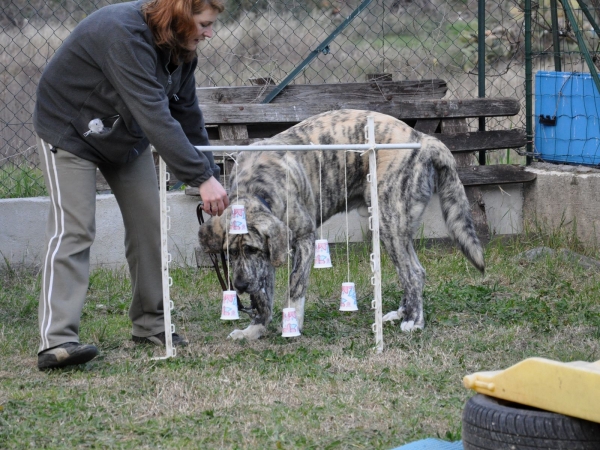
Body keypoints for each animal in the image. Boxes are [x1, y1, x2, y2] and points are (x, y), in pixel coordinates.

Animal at [199, 110, 486, 342]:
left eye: (251, 249)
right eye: (230, 253)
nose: (239, 286)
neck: (257, 187)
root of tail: (423, 139)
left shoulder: (304, 239)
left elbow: (295, 287)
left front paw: (292, 324)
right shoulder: (268, 256)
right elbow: (262, 295)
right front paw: (255, 329)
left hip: (388, 222)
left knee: (414, 273)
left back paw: (413, 321)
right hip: (392, 228)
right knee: (414, 272)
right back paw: (400, 313)